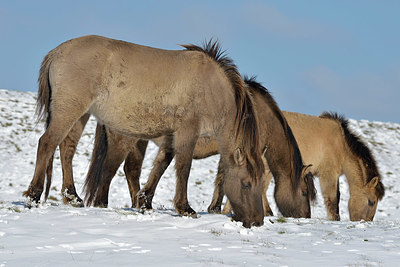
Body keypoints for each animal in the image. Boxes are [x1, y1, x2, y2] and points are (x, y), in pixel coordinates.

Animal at [21, 35, 268, 228]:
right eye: (246, 183)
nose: (256, 221)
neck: (211, 86)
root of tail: (56, 52)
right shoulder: (188, 130)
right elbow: (183, 167)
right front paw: (185, 208)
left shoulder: (170, 136)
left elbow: (161, 166)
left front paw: (145, 202)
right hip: (69, 110)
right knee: (47, 143)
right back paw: (33, 195)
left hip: (80, 114)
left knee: (67, 148)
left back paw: (72, 197)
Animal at [84, 76, 316, 219]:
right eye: (305, 192)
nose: (306, 217)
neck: (259, 116)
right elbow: (225, 178)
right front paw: (222, 209)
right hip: (126, 140)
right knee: (113, 168)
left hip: (140, 141)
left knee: (131, 170)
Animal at [217, 111, 386, 222]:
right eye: (371, 201)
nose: (366, 222)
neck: (341, 144)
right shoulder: (328, 175)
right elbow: (333, 198)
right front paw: (334, 219)